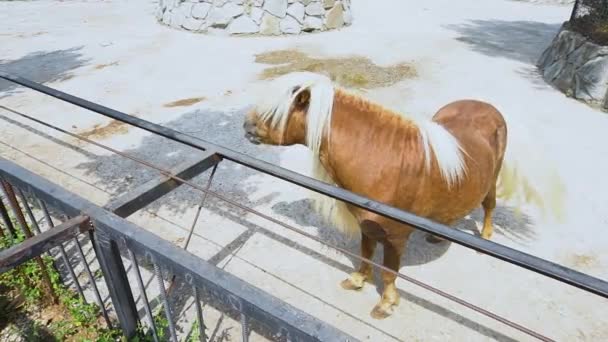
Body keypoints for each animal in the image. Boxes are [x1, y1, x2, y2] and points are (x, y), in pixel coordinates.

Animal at [242, 73, 508, 320]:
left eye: (276, 110)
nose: (246, 125)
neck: (383, 163)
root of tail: (486, 107)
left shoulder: (396, 236)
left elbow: (389, 272)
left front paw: (386, 303)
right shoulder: (366, 225)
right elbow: (366, 254)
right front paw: (358, 280)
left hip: (492, 179)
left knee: (489, 205)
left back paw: (485, 238)